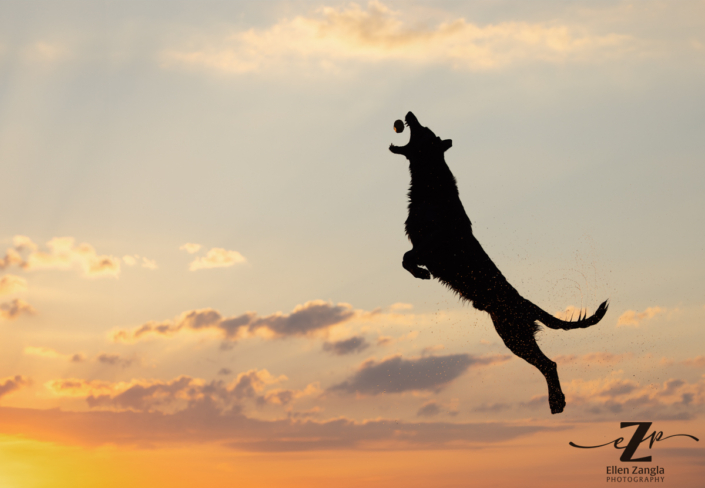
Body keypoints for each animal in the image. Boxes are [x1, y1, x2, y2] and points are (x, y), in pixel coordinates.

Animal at [388, 112, 608, 414]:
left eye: (424, 130)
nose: (409, 114)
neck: (431, 185)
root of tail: (526, 303)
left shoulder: (433, 243)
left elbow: (407, 258)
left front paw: (421, 274)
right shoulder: (420, 243)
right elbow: (405, 257)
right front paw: (419, 273)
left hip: (515, 334)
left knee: (549, 364)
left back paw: (556, 401)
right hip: (509, 331)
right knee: (547, 363)